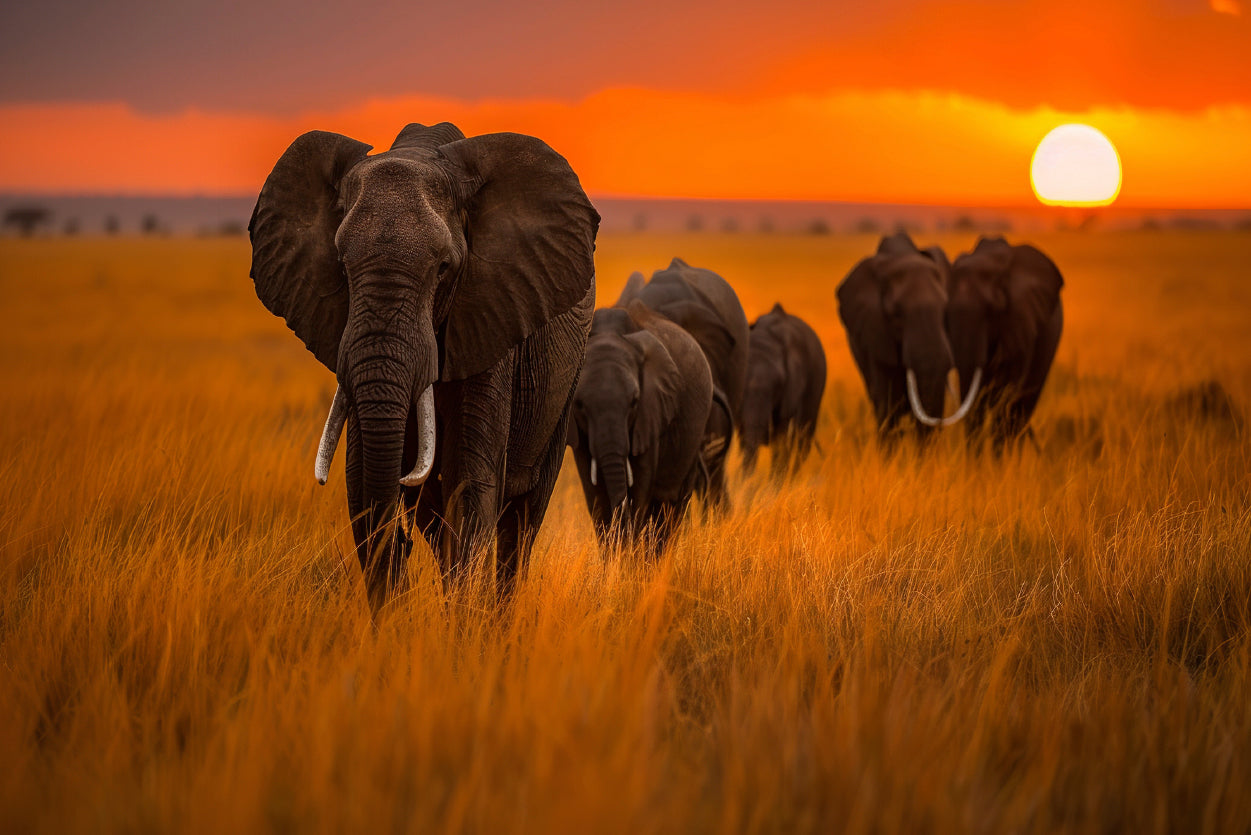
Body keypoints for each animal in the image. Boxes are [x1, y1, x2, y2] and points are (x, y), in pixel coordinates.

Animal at [248, 122, 599, 605]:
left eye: (444, 268)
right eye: (341, 266)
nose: (403, 541)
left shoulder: (492, 313)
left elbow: (469, 483)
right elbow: (362, 485)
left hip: (566, 381)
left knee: (522, 520)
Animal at [567, 301, 713, 552]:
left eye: (635, 401)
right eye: (580, 405)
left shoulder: (650, 414)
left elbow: (641, 488)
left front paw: (629, 558)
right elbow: (594, 494)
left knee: (671, 506)